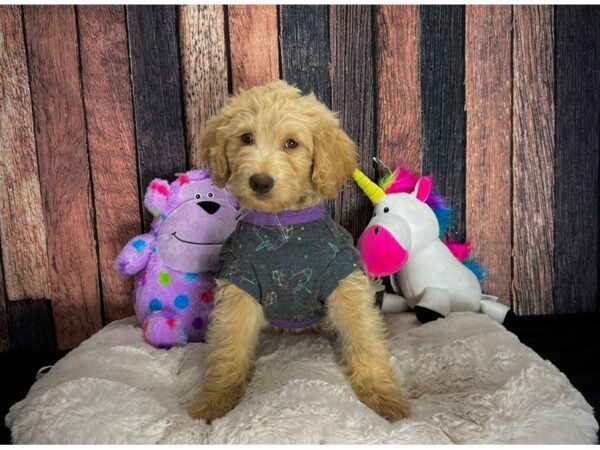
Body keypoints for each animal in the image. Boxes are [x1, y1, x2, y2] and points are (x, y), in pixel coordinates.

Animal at [188, 80, 410, 422]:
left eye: (291, 143)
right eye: (246, 138)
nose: (260, 181)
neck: (283, 228)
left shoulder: (342, 276)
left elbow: (364, 337)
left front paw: (383, 394)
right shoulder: (240, 280)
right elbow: (229, 345)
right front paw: (215, 399)